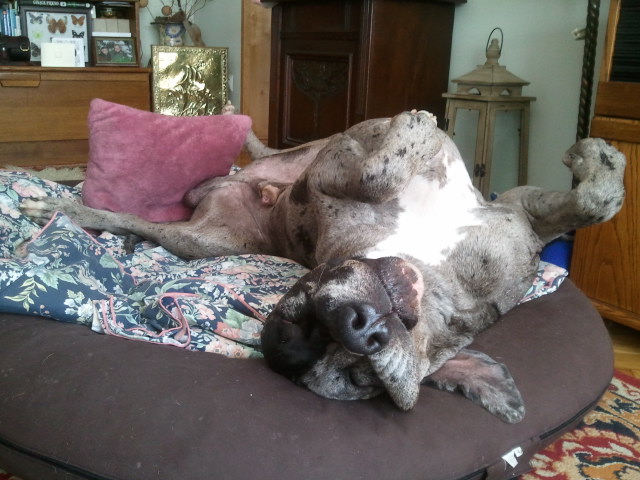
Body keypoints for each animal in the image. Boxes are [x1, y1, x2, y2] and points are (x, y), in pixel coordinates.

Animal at [22, 110, 625, 423]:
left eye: (360, 376)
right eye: (301, 315)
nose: (357, 328)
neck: (425, 271)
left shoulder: (520, 215)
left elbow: (596, 202)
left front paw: (597, 158)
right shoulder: (333, 172)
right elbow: (379, 168)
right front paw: (414, 129)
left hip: (260, 190)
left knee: (265, 147)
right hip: (199, 240)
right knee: (131, 216)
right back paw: (62, 208)